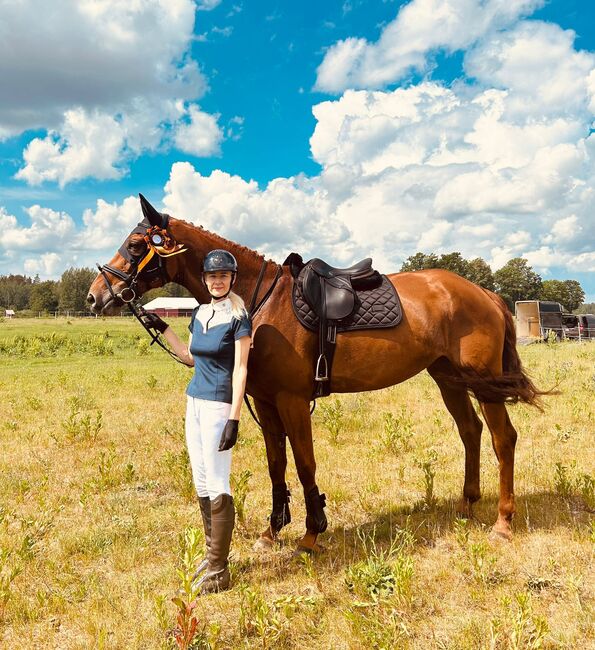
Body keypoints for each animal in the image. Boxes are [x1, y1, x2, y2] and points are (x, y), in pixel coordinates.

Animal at [86, 195, 548, 548]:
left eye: (134, 244)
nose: (95, 296)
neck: (261, 303)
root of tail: (485, 293)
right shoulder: (264, 402)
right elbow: (277, 464)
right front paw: (273, 530)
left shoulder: (291, 400)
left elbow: (305, 463)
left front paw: (312, 533)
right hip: (448, 377)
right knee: (470, 431)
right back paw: (466, 506)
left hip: (484, 382)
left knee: (503, 438)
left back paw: (503, 522)